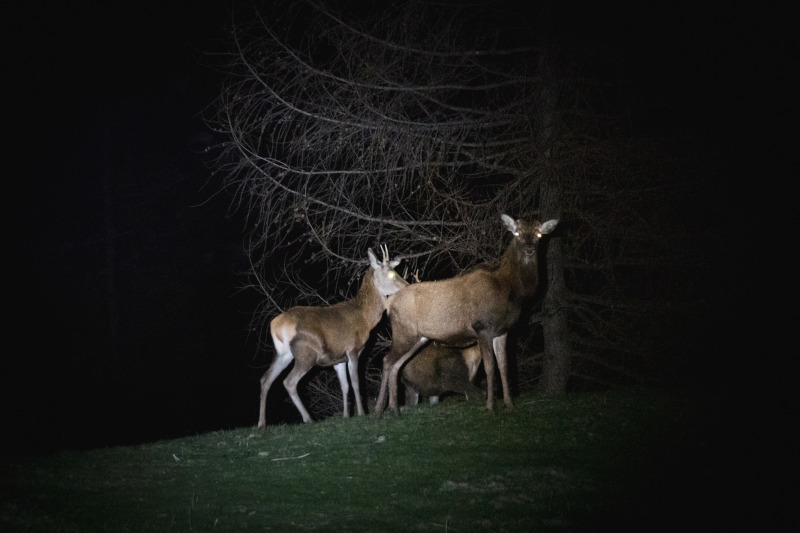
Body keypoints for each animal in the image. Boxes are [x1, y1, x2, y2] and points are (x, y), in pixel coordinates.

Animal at [258, 243, 406, 426]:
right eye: (391, 273)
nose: (407, 286)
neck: (365, 318)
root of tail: (276, 325)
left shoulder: (338, 358)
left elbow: (345, 386)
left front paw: (346, 415)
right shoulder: (353, 349)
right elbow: (356, 383)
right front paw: (361, 413)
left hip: (283, 353)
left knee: (265, 379)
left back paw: (261, 424)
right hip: (307, 352)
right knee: (289, 382)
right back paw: (308, 419)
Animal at [374, 213, 556, 416]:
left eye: (539, 234)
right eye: (516, 233)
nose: (529, 249)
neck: (511, 291)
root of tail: (389, 305)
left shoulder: (503, 331)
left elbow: (504, 366)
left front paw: (509, 404)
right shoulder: (482, 327)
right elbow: (490, 368)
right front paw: (491, 406)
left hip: (417, 338)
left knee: (397, 365)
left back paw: (394, 409)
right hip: (403, 332)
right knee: (387, 360)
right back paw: (379, 409)